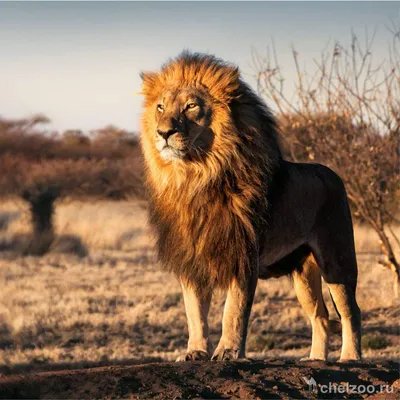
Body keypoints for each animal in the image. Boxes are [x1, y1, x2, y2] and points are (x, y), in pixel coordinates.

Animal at [139, 50, 360, 362]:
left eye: (191, 106)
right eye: (160, 107)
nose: (163, 132)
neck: (196, 177)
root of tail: (334, 174)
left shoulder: (243, 254)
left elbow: (234, 310)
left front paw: (228, 352)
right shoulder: (191, 258)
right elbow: (194, 312)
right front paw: (195, 352)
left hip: (337, 260)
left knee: (351, 311)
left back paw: (350, 357)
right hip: (303, 273)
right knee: (320, 316)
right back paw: (316, 359)